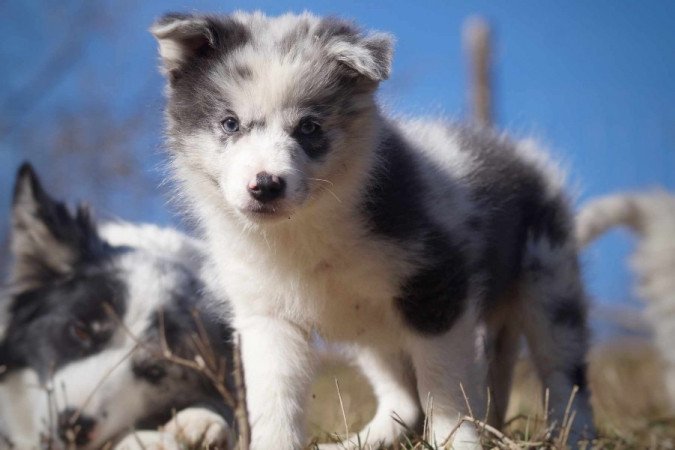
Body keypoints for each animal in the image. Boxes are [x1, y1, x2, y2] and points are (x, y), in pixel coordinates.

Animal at [153, 10, 596, 450]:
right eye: (229, 123)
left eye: (309, 128)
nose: (265, 186)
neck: (306, 231)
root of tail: (520, 152)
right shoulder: (267, 315)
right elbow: (275, 399)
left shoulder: (436, 287)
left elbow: (444, 387)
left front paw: (456, 441)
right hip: (373, 329)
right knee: (403, 400)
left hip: (549, 280)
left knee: (564, 374)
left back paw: (575, 435)